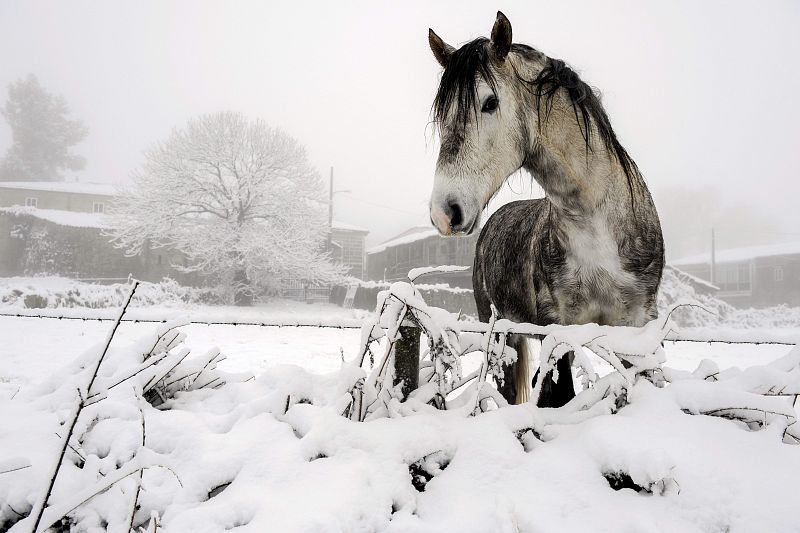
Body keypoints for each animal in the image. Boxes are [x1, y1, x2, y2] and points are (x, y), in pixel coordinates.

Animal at [428, 12, 664, 406]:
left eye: (490, 102)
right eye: (441, 114)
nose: (444, 212)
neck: (597, 231)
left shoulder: (638, 325)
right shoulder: (559, 329)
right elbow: (559, 394)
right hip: (501, 333)